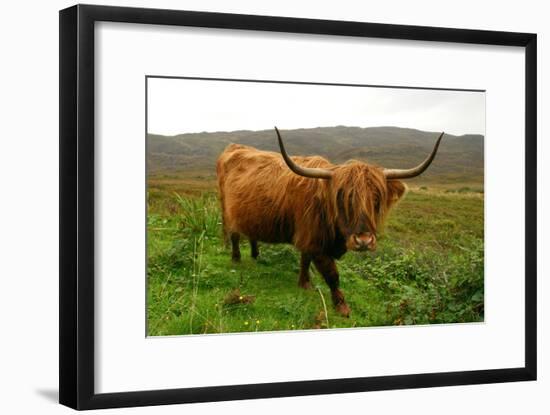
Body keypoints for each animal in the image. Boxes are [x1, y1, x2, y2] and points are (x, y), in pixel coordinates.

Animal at [216, 128, 444, 316]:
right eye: (343, 198)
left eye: (376, 199)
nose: (364, 241)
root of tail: (233, 147)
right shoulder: (315, 241)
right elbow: (332, 274)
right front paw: (341, 306)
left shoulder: (309, 238)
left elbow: (305, 260)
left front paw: (304, 283)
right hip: (226, 209)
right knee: (233, 234)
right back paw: (236, 258)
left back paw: (256, 255)